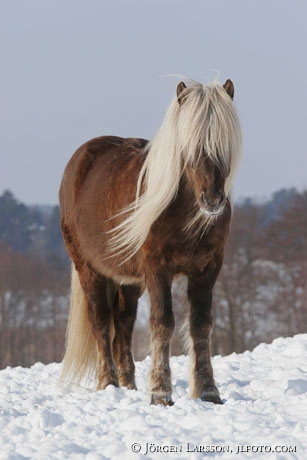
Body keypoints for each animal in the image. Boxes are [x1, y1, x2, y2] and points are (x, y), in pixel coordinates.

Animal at [59, 79, 243, 406]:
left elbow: (201, 324)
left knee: (123, 322)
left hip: (129, 279)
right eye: (188, 146)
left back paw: (128, 385)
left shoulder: (208, 268)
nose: (212, 200)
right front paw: (160, 393)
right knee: (100, 321)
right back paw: (108, 383)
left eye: (225, 144)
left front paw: (208, 391)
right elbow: (162, 322)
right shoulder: (158, 268)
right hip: (89, 269)